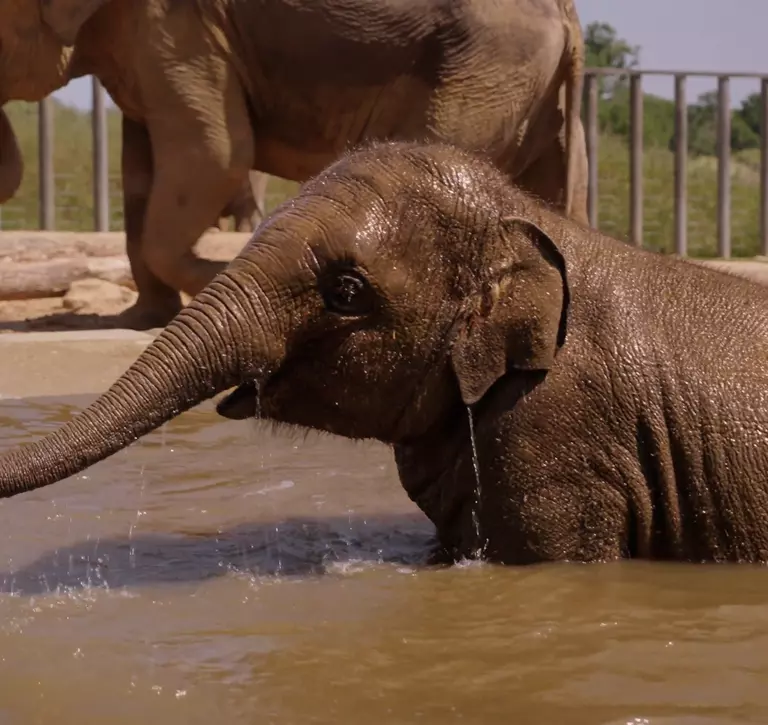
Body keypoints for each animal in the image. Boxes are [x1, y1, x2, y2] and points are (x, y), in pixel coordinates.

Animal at [0, 0, 588, 330]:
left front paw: (224, 279)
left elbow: (215, 152)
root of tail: (569, 14)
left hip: (484, 71)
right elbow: (141, 169)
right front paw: (142, 319)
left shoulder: (181, 30)